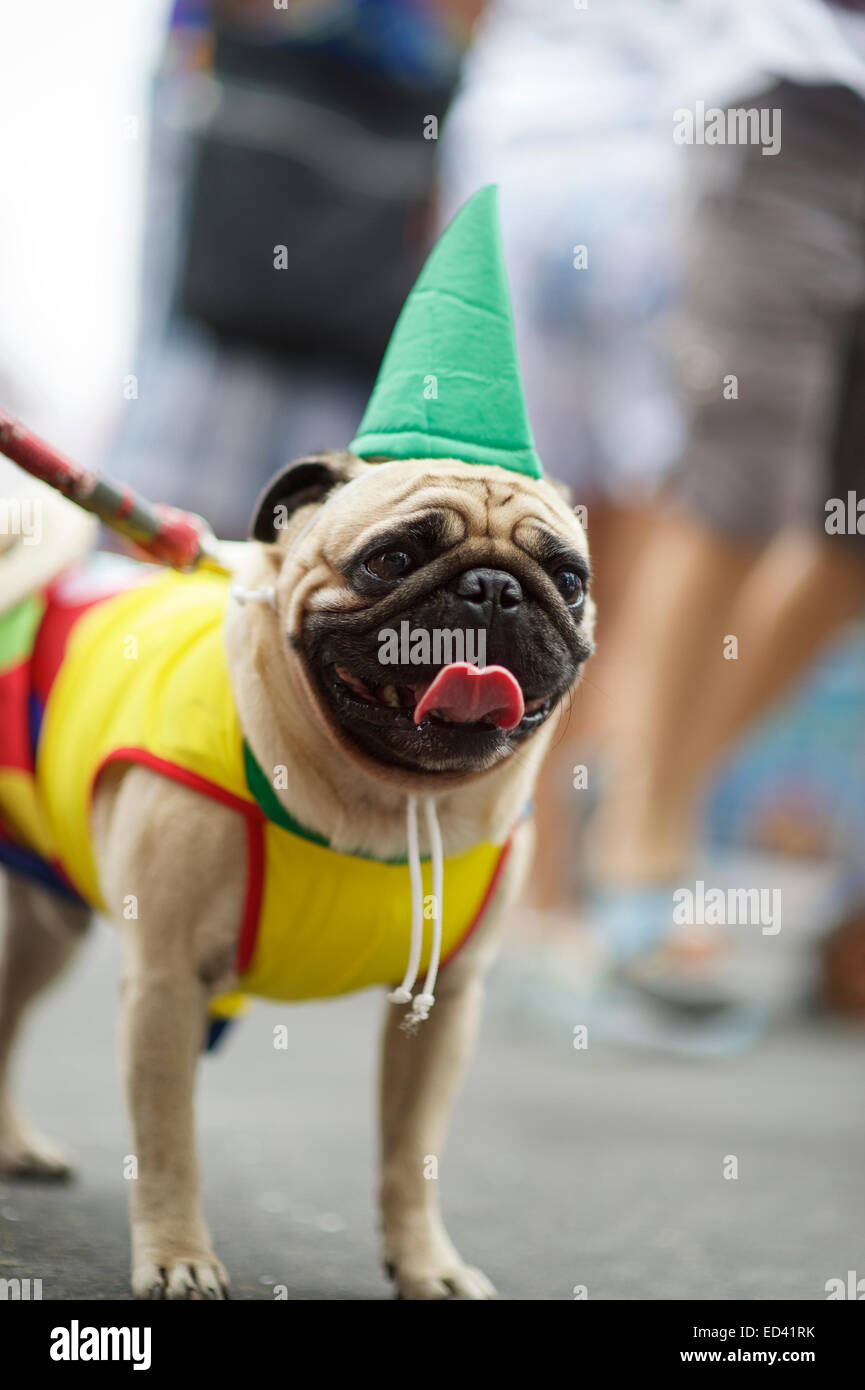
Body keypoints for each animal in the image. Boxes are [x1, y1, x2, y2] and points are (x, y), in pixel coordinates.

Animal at [0, 453, 592, 1301]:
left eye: (568, 580)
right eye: (390, 560)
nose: (493, 587)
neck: (384, 800)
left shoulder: (445, 1005)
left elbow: (412, 1155)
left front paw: (426, 1264)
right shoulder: (165, 983)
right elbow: (169, 1144)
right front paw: (177, 1257)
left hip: (47, 926)